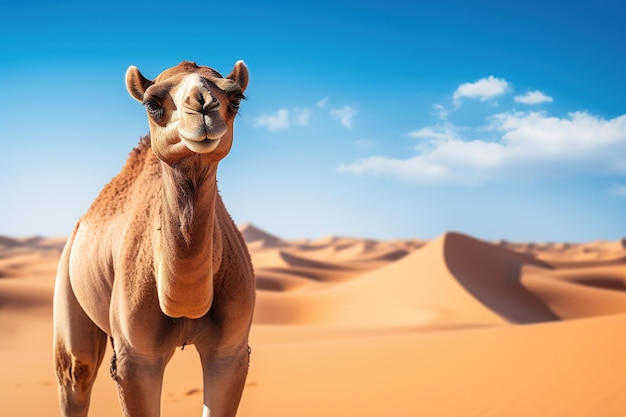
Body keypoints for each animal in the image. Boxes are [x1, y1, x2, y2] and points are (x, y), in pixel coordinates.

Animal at [53, 59, 254, 416]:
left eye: (236, 99)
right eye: (152, 103)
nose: (202, 105)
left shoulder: (231, 351)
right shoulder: (136, 357)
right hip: (66, 279)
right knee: (77, 371)